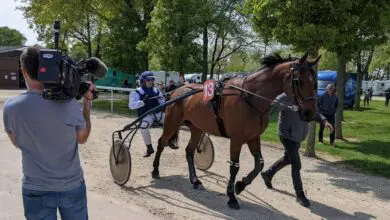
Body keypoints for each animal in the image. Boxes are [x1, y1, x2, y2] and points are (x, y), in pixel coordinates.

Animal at [152, 52, 320, 209]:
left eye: (315, 82)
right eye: (299, 81)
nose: (310, 113)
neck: (249, 97)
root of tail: (177, 91)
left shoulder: (253, 137)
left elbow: (259, 164)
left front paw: (241, 184)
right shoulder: (237, 139)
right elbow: (234, 166)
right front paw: (231, 196)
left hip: (197, 128)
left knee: (189, 151)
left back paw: (195, 180)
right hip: (172, 123)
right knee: (162, 142)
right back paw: (155, 170)